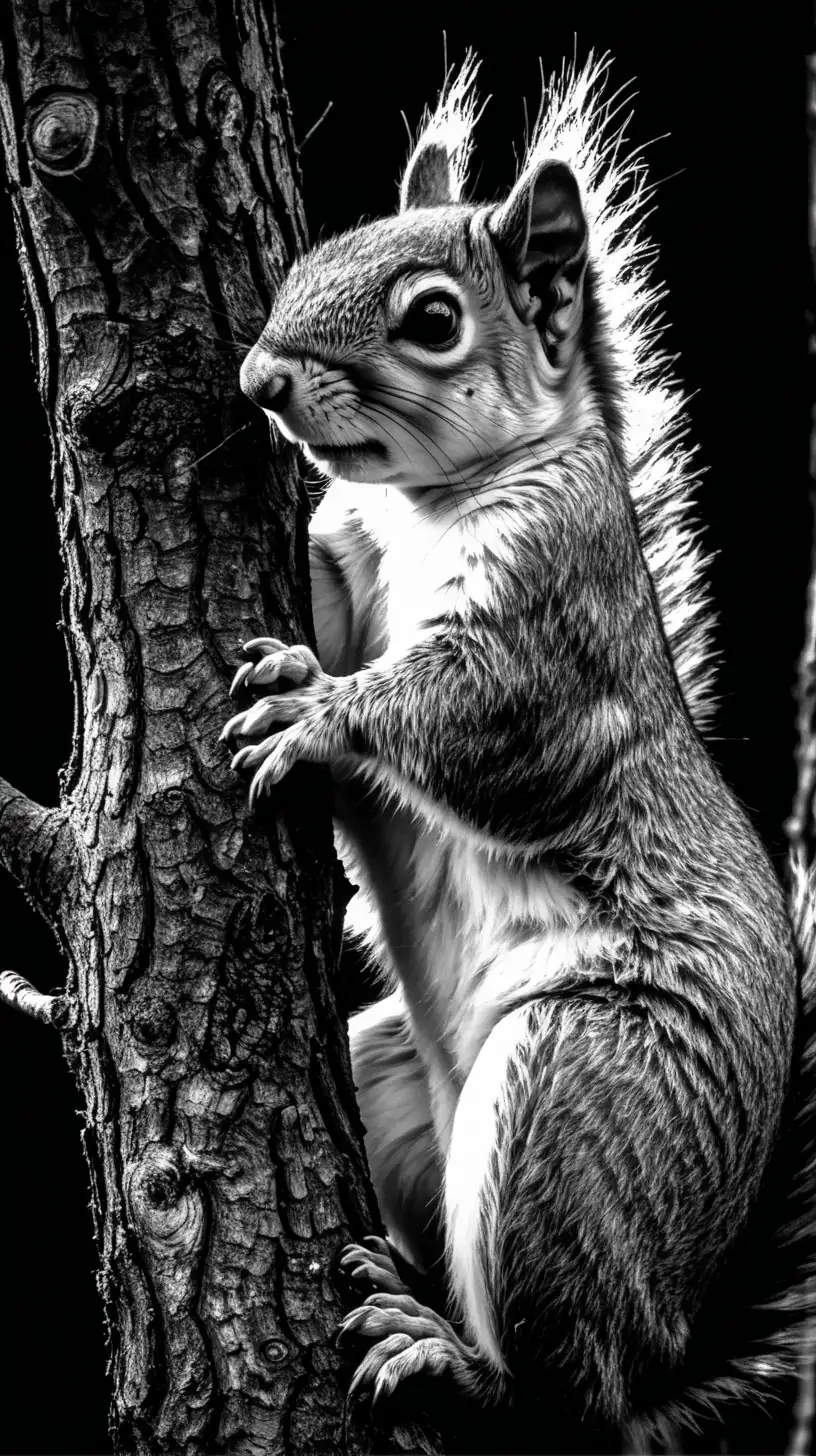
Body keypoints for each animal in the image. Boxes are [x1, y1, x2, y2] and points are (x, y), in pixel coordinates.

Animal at [221, 51, 816, 1450]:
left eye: (434, 320)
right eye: (308, 254)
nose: (260, 381)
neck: (429, 502)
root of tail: (667, 1350)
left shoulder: (557, 634)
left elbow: (467, 718)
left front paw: (316, 712)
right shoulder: (355, 559)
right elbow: (329, 601)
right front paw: (291, 656)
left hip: (574, 1102)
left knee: (562, 1393)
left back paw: (448, 1357)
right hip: (394, 1072)